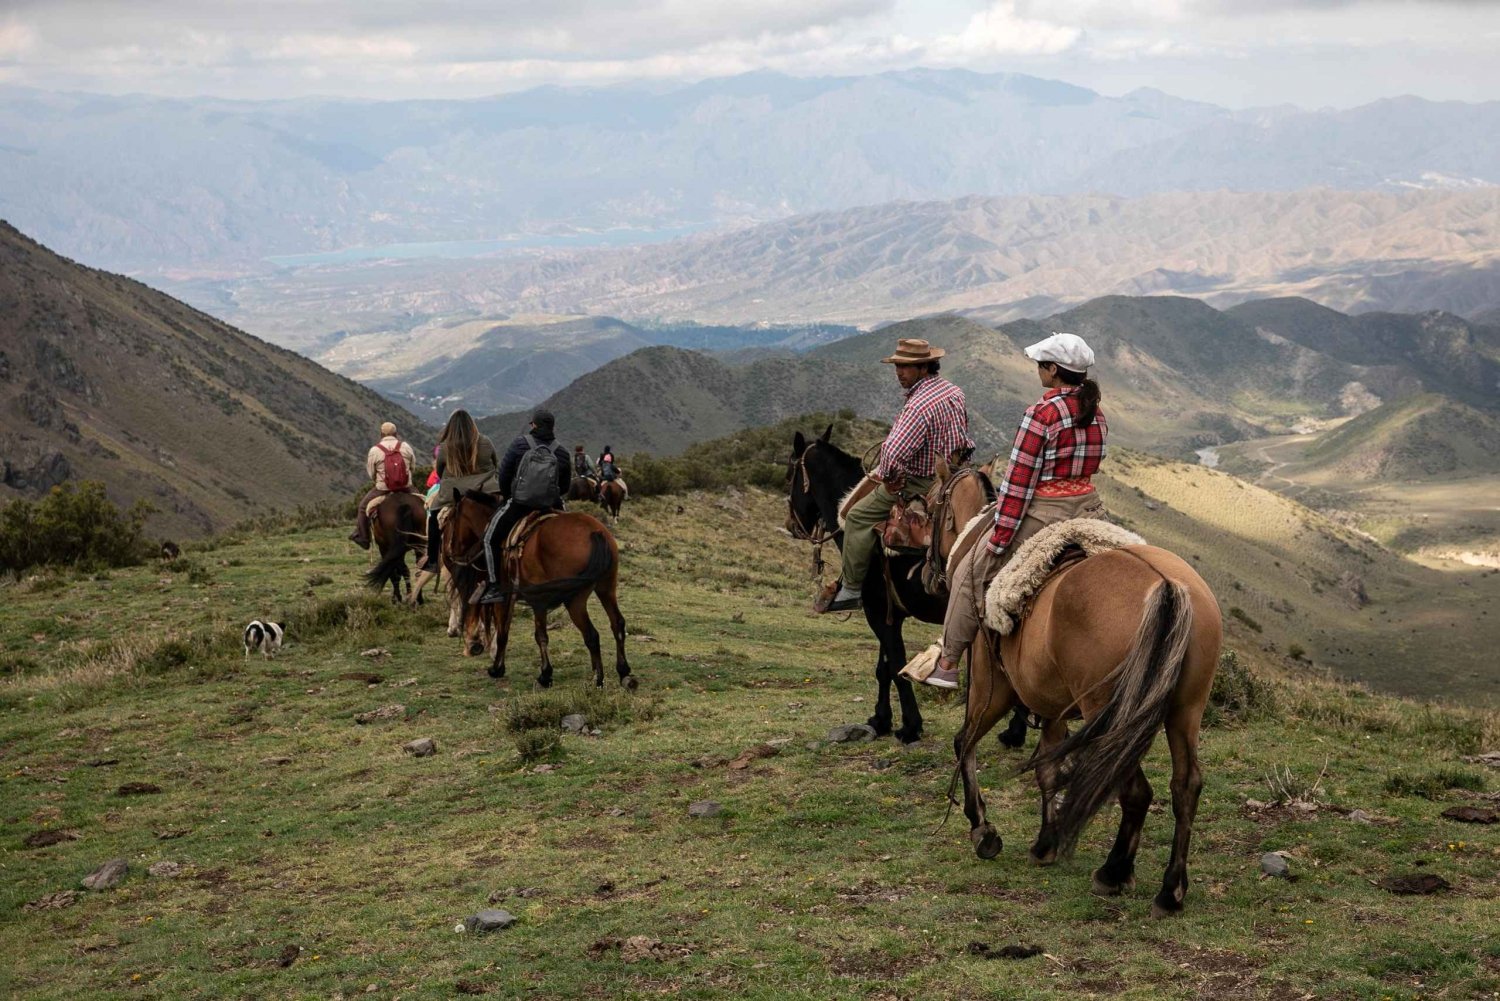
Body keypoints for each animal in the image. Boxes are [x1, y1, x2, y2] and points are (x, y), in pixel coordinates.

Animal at [444, 492, 633, 690]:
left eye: (450, 520)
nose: (449, 552)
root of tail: (594, 532)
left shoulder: (518, 598)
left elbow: (519, 632)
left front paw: (535, 673)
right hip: (606, 588)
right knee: (617, 624)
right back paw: (624, 672)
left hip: (575, 600)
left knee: (591, 634)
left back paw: (599, 679)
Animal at [786, 423, 1032, 744]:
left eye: (789, 473)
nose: (792, 526)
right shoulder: (890, 613)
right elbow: (884, 666)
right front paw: (880, 720)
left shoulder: (877, 612)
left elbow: (895, 665)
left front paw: (910, 726)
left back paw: (1015, 732)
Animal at [954, 543, 1224, 918]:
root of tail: (1167, 585)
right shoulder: (1053, 709)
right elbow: (1048, 771)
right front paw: (1046, 842)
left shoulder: (992, 687)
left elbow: (967, 744)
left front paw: (986, 830)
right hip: (1186, 711)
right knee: (1185, 787)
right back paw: (1170, 892)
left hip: (1107, 713)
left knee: (1135, 790)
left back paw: (1113, 873)